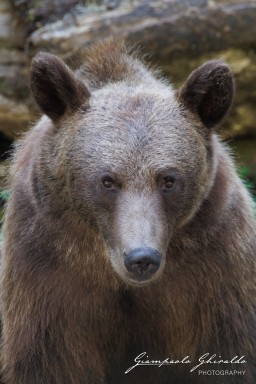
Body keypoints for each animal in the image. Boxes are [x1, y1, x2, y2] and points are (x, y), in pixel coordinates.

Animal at [0, 39, 256, 384]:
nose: (141, 258)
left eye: (169, 179)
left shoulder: (217, 270)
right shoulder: (45, 276)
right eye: (107, 180)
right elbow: (46, 361)